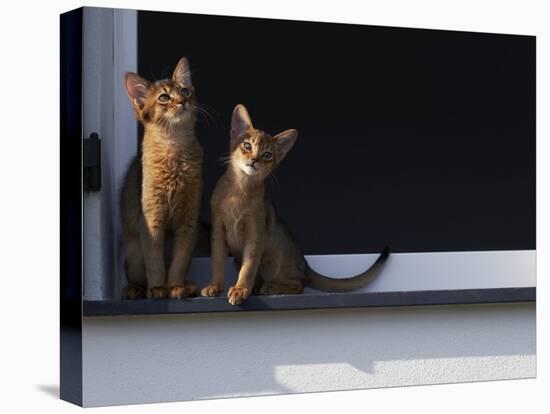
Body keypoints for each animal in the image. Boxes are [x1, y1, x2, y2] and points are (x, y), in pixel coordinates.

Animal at [122, 56, 204, 300]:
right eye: (164, 97)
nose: (183, 101)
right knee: (135, 274)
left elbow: (180, 261)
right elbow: (155, 261)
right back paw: (134, 289)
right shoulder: (150, 218)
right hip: (133, 253)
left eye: (185, 91)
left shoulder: (189, 220)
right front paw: (158, 287)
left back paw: (188, 285)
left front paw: (175, 286)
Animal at [202, 103, 388, 304]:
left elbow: (248, 268)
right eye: (246, 145)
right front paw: (214, 286)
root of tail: (305, 264)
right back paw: (258, 288)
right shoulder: (218, 232)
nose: (254, 160)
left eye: (267, 155)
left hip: (275, 261)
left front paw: (240, 289)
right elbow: (217, 263)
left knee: (299, 285)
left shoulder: (255, 234)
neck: (239, 189)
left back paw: (269, 287)